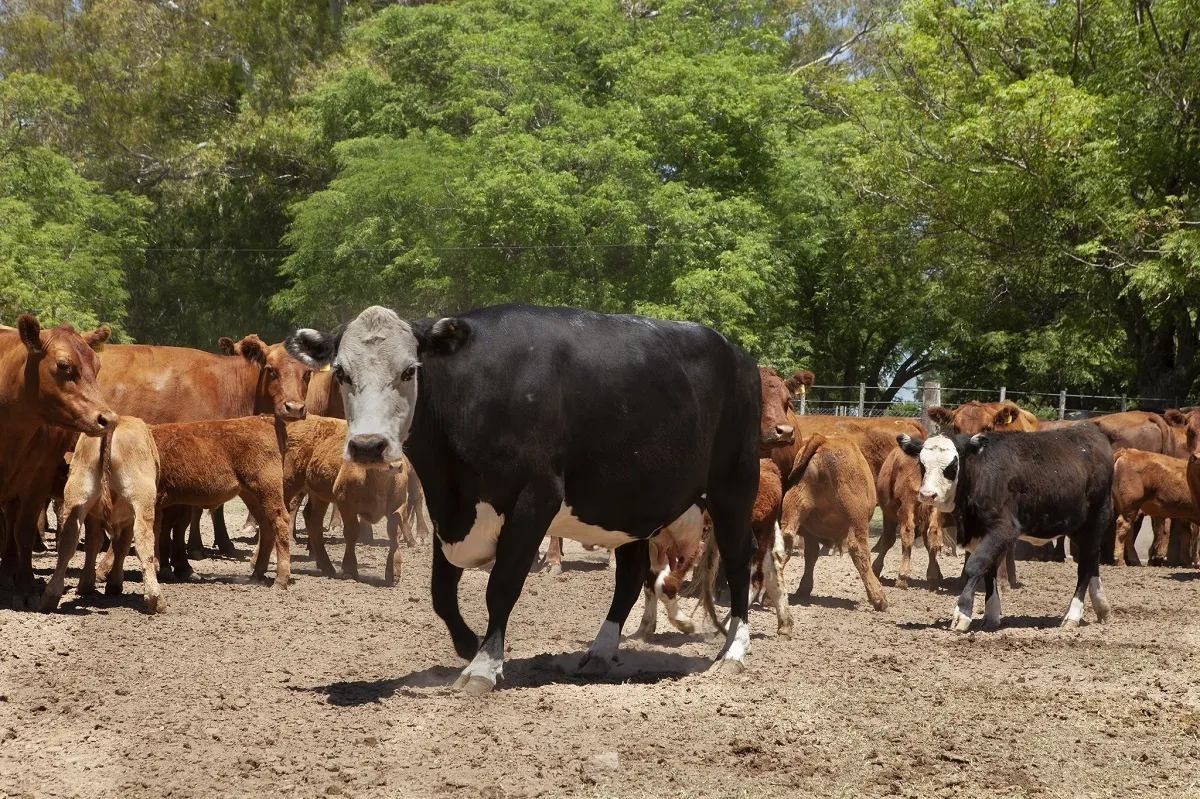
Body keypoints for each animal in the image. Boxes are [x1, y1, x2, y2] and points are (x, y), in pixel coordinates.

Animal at [0, 316, 116, 604]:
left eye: (97, 366)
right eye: (63, 365)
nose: (108, 418)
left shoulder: (40, 476)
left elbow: (24, 530)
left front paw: (26, 587)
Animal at [40, 417, 164, 609]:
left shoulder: (93, 516)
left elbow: (94, 543)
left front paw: (86, 584)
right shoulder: (128, 518)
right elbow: (121, 546)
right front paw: (114, 584)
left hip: (77, 495)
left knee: (68, 541)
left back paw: (50, 597)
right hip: (141, 502)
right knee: (144, 542)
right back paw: (155, 599)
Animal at [286, 303, 758, 691]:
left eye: (409, 371)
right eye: (341, 373)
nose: (368, 445)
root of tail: (738, 355)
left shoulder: (535, 499)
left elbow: (502, 585)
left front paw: (483, 665)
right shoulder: (449, 512)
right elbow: (441, 591)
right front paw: (468, 643)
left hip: (733, 488)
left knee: (738, 563)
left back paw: (733, 652)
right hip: (630, 504)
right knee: (629, 575)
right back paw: (600, 651)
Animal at [902, 422, 1113, 628]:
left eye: (952, 465)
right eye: (922, 464)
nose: (928, 495)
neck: (980, 474)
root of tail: (1090, 431)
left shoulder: (1003, 529)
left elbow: (976, 565)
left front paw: (962, 613)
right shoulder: (981, 532)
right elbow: (988, 569)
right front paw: (991, 614)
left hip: (1096, 520)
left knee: (1085, 566)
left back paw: (1073, 616)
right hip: (1077, 526)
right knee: (1092, 559)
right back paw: (1101, 606)